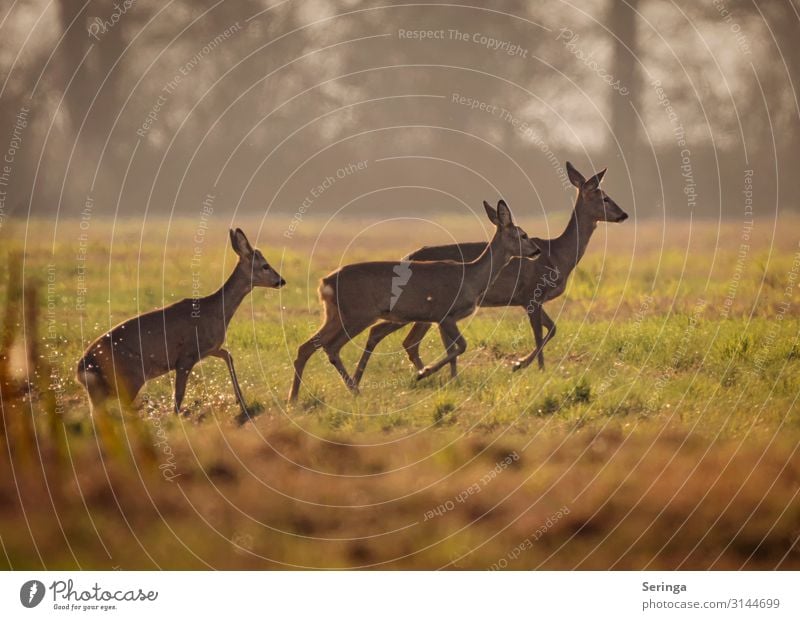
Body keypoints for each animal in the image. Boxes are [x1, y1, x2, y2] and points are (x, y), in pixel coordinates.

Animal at [77, 229, 284, 416]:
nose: (282, 281)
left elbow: (228, 355)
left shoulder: (209, 348)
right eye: (265, 266)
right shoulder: (186, 356)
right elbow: (179, 394)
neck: (217, 311)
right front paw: (177, 417)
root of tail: (82, 369)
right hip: (130, 377)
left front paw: (240, 400)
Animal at [284, 200, 540, 402]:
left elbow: (454, 348)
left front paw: (437, 377)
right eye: (524, 235)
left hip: (335, 315)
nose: (537, 250)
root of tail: (325, 282)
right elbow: (461, 346)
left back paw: (294, 398)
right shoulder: (445, 314)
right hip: (357, 314)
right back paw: (353, 389)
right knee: (331, 346)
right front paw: (423, 373)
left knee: (306, 346)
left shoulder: (441, 319)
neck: (472, 277)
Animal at [354, 162, 624, 380]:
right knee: (401, 339)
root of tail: (407, 257)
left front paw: (524, 365)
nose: (624, 214)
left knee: (404, 340)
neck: (558, 255)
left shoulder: (530, 299)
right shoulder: (531, 295)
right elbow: (540, 334)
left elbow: (552, 329)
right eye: (605, 197)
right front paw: (528, 366)